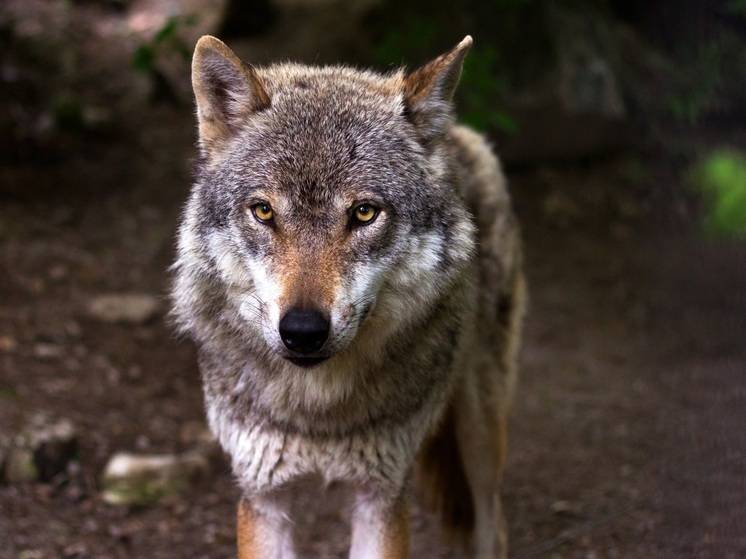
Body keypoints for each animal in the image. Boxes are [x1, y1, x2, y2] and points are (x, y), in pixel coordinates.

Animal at [171, 34, 528, 559]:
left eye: (363, 213)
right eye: (263, 211)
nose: (302, 331)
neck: (317, 412)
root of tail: (457, 133)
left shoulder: (381, 496)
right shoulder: (263, 497)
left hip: (480, 428)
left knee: (493, 522)